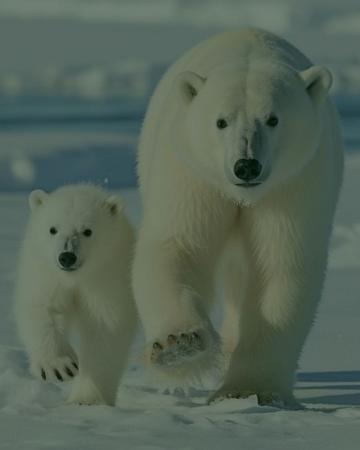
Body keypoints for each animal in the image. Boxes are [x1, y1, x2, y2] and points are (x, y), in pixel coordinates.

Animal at [134, 29, 344, 406]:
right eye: (221, 121)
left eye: (273, 119)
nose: (246, 166)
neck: (243, 197)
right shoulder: (194, 174)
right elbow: (180, 245)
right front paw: (178, 346)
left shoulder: (293, 185)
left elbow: (278, 266)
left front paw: (248, 389)